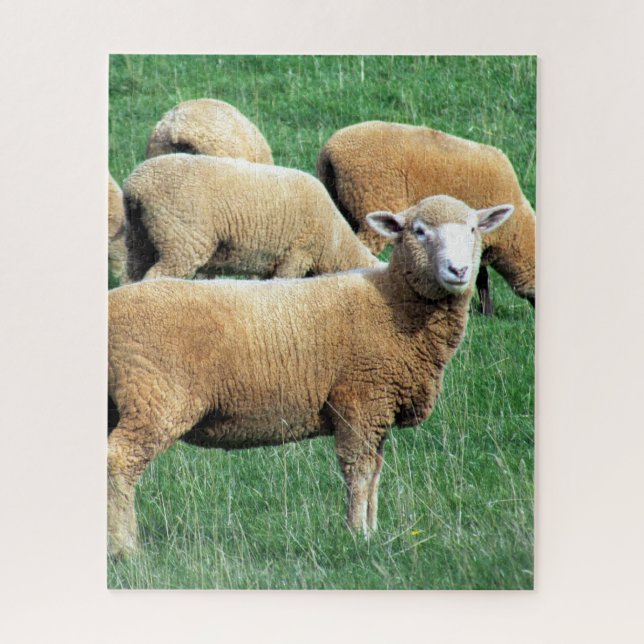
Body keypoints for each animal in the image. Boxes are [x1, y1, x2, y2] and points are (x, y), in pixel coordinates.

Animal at [108, 194, 514, 557]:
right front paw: (357, 536)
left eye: (474, 228)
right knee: (121, 460)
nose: (459, 271)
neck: (393, 304)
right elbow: (358, 472)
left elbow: (376, 474)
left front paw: (374, 530)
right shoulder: (360, 402)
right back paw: (126, 549)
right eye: (419, 231)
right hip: (156, 397)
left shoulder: (379, 410)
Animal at [317, 121, 535, 314]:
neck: (516, 228)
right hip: (372, 204)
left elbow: (480, 274)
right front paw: (487, 312)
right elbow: (481, 277)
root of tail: (331, 151)